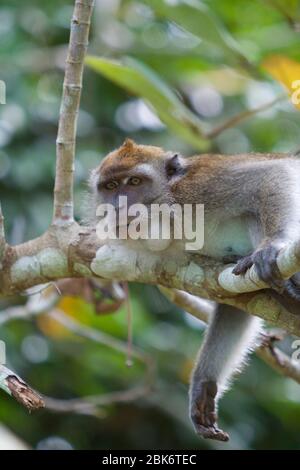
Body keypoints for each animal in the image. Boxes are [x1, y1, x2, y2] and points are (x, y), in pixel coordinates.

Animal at [88, 139, 300, 440]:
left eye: (134, 181)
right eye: (110, 186)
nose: (117, 206)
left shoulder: (200, 190)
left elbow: (274, 173)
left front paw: (273, 244)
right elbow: (234, 307)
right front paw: (203, 383)